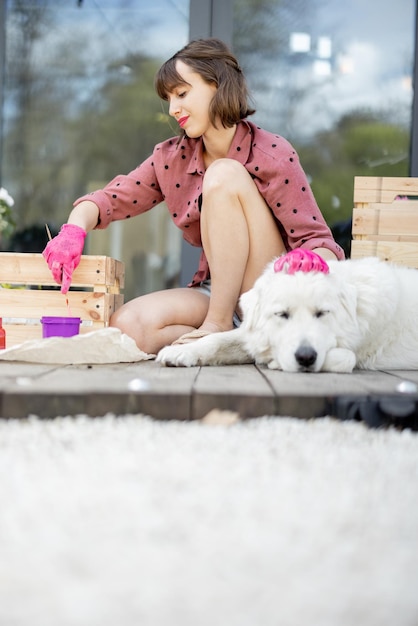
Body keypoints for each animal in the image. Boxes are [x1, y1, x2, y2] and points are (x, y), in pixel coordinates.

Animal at [156, 252, 418, 370]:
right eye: (282, 314)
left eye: (322, 313)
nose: (305, 357)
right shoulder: (255, 334)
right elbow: (216, 340)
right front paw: (180, 352)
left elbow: (345, 357)